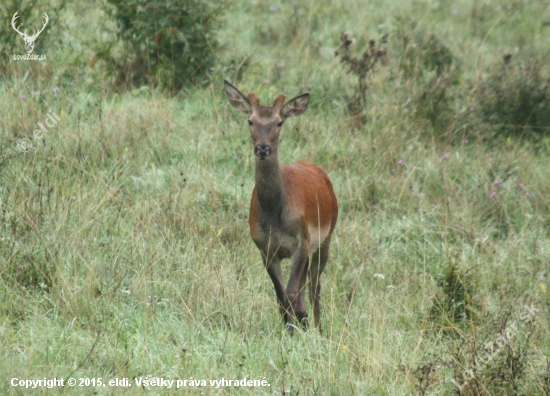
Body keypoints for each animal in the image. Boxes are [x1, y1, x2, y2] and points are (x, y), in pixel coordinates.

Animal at [223, 80, 336, 334]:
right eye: (250, 120)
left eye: (279, 122)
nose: (263, 149)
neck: (274, 217)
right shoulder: (265, 249)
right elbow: (281, 295)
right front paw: (289, 328)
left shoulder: (301, 241)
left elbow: (292, 292)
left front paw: (294, 330)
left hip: (327, 236)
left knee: (315, 285)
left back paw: (319, 328)